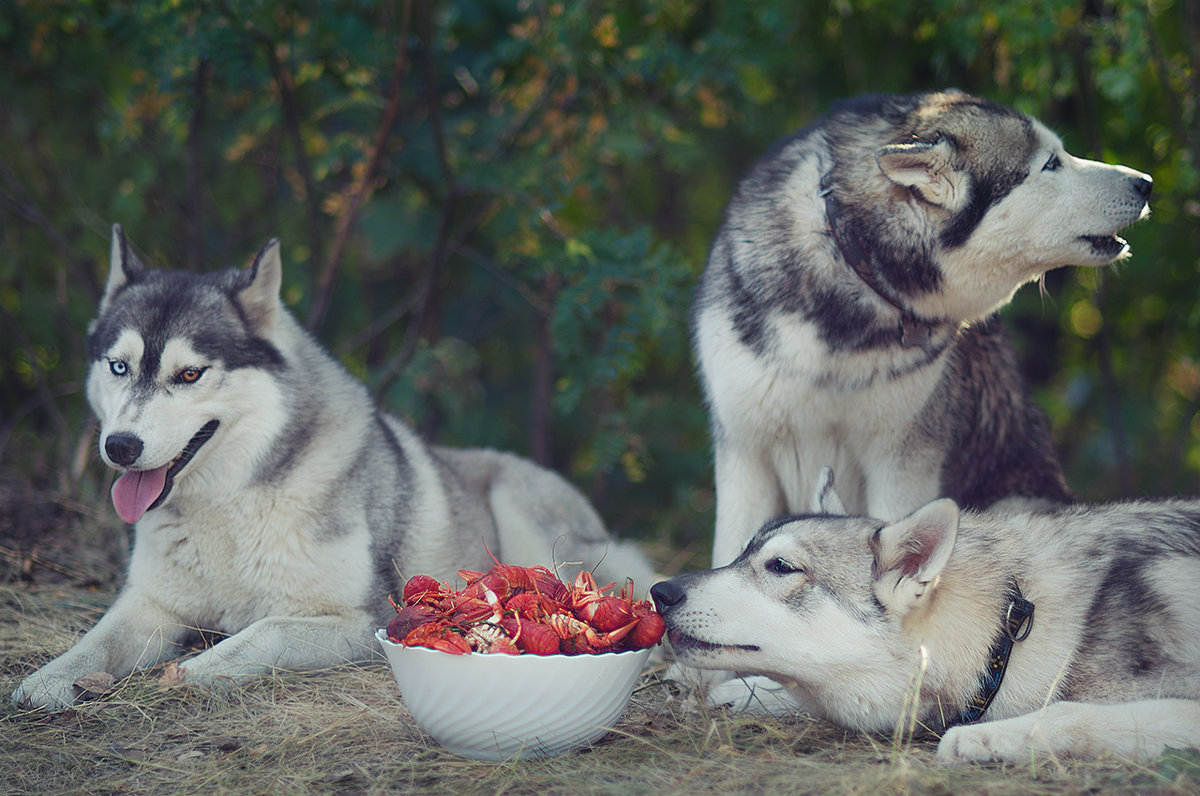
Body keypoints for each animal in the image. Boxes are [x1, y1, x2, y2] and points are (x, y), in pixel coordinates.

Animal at [11, 225, 657, 710]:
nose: (119, 446)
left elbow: (264, 631)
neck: (228, 505)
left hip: (525, 519)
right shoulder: (150, 605)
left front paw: (196, 670)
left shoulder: (364, 620)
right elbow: (93, 644)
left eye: (189, 374)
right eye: (118, 367)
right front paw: (45, 682)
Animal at [657, 470, 1200, 763]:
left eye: (781, 567)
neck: (1008, 631)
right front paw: (740, 691)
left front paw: (986, 737)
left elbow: (1069, 712)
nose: (660, 592)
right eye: (743, 554)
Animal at [696, 90, 1152, 569]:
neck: (854, 267)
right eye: (1051, 164)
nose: (1146, 183)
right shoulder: (745, 458)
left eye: (1061, 154)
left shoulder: (902, 465)